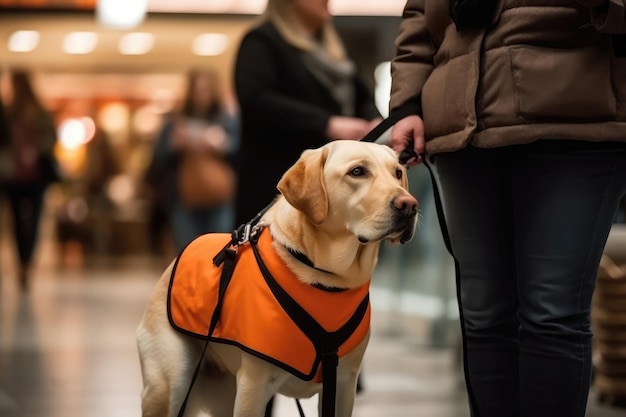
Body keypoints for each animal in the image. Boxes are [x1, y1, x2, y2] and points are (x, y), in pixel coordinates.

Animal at [139, 141, 416, 416]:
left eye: (397, 172)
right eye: (357, 171)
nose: (409, 205)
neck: (328, 278)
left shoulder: (344, 384)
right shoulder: (254, 385)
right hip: (169, 386)